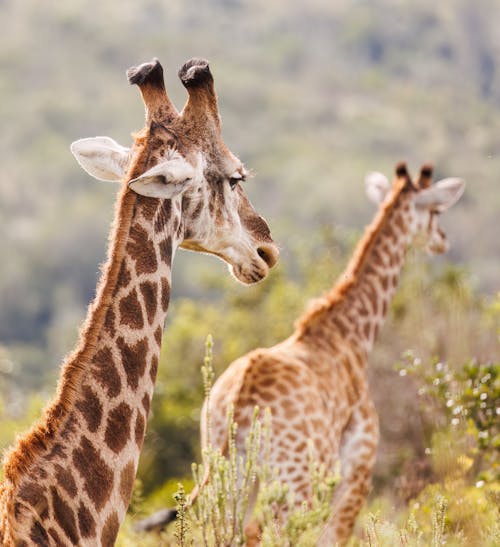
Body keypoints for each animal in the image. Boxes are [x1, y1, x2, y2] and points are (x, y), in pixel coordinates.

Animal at [202, 162, 464, 544]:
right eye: (435, 212)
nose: (443, 239)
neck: (352, 335)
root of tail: (241, 399)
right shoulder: (358, 467)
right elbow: (336, 535)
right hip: (296, 480)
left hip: (223, 471)